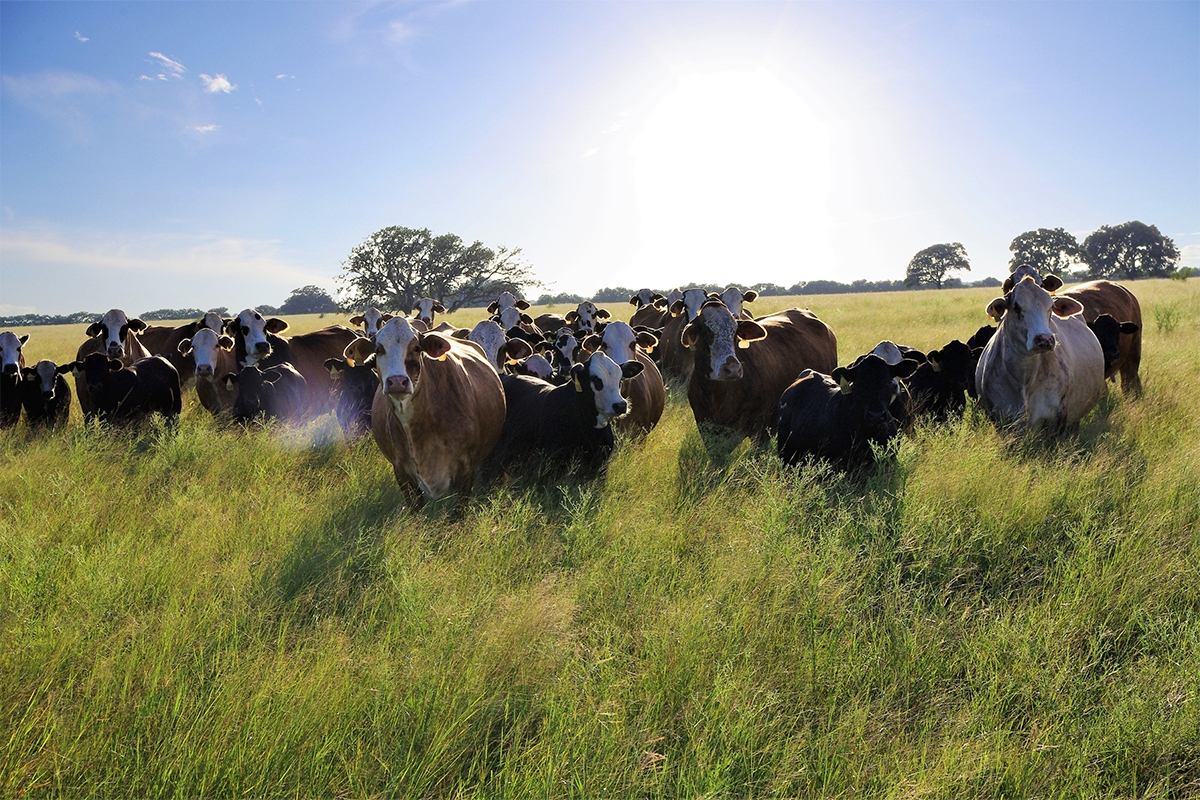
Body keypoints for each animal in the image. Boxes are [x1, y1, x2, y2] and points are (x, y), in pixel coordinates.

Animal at [974, 277, 1104, 438]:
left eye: (1051, 307)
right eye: (1016, 306)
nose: (1045, 339)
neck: (1023, 380)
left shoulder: (1056, 419)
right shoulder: (1001, 420)